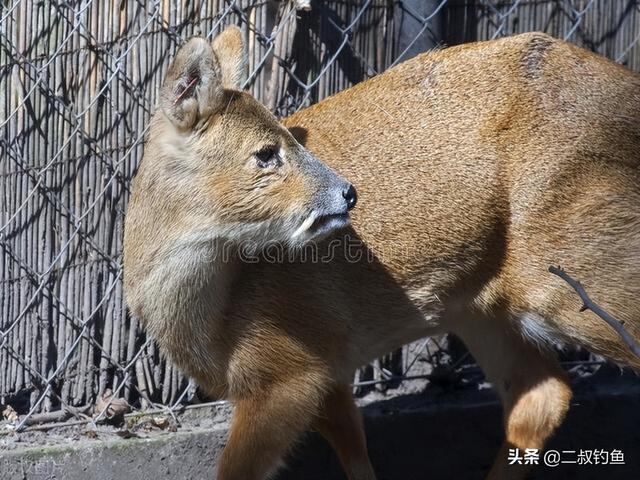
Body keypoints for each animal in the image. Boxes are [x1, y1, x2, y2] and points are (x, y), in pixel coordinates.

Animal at [124, 27, 640, 480]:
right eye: (266, 152)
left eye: (287, 138)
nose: (349, 192)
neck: (210, 315)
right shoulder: (323, 369)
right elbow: (356, 455)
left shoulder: (288, 372)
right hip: (480, 308)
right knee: (542, 396)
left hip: (581, 268)